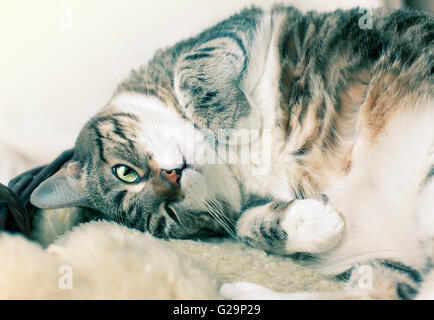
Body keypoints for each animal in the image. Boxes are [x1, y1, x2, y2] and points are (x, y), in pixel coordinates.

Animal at [28, 5, 432, 300]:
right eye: (168, 216)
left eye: (125, 172)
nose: (173, 177)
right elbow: (241, 225)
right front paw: (314, 224)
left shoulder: (250, 21)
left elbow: (190, 66)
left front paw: (235, 122)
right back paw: (236, 290)